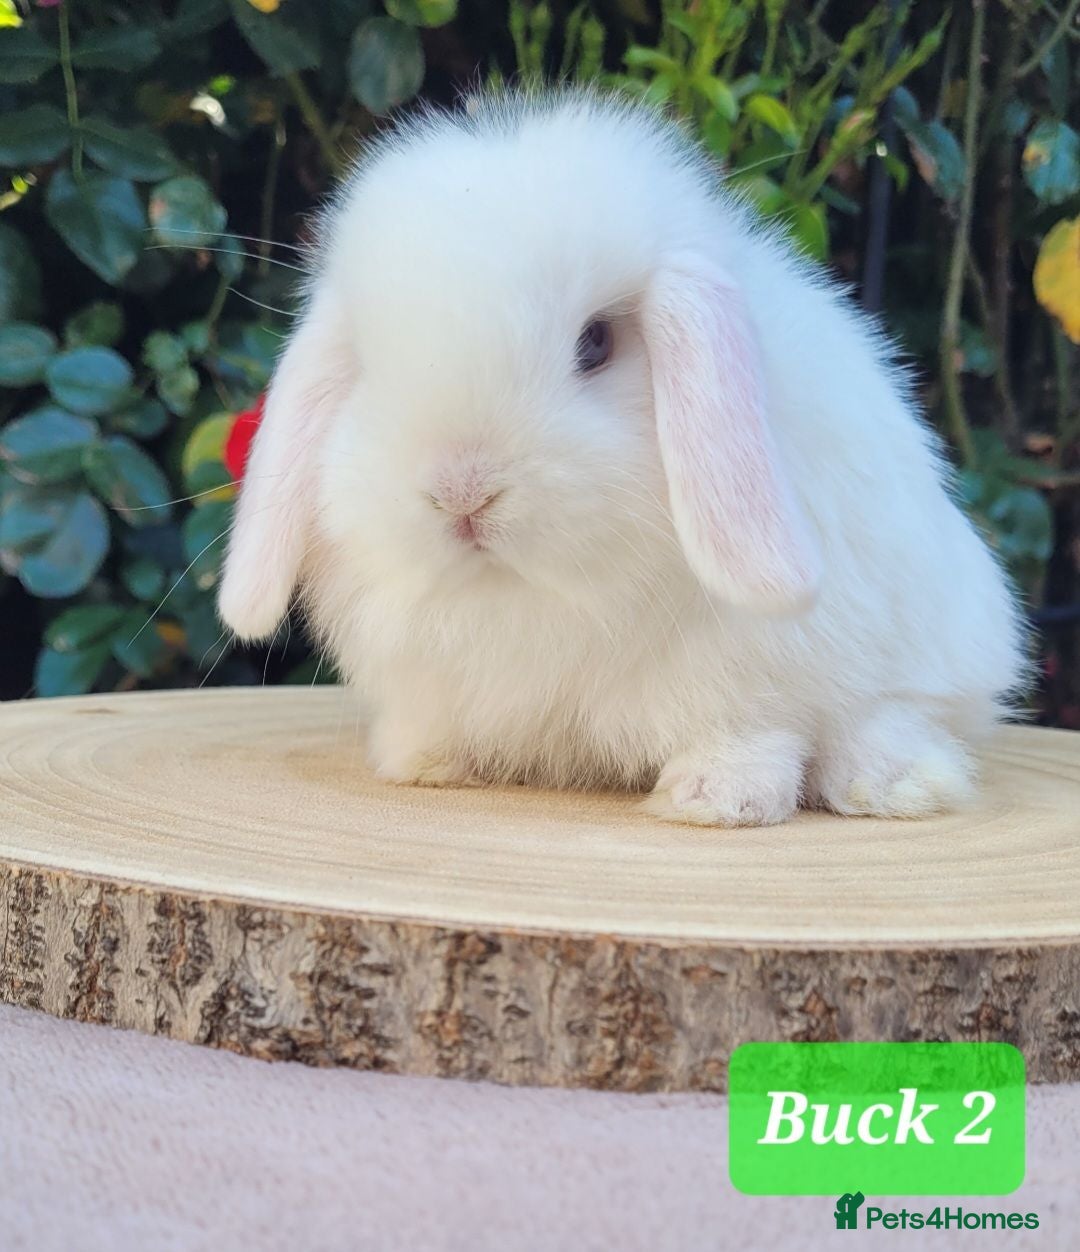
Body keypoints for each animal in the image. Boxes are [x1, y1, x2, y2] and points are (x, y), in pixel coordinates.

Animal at [217, 88, 1027, 828]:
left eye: (596, 343)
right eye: (370, 365)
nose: (462, 494)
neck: (536, 596)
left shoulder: (756, 671)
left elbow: (751, 729)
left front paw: (715, 799)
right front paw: (421, 762)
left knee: (898, 718)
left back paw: (889, 785)